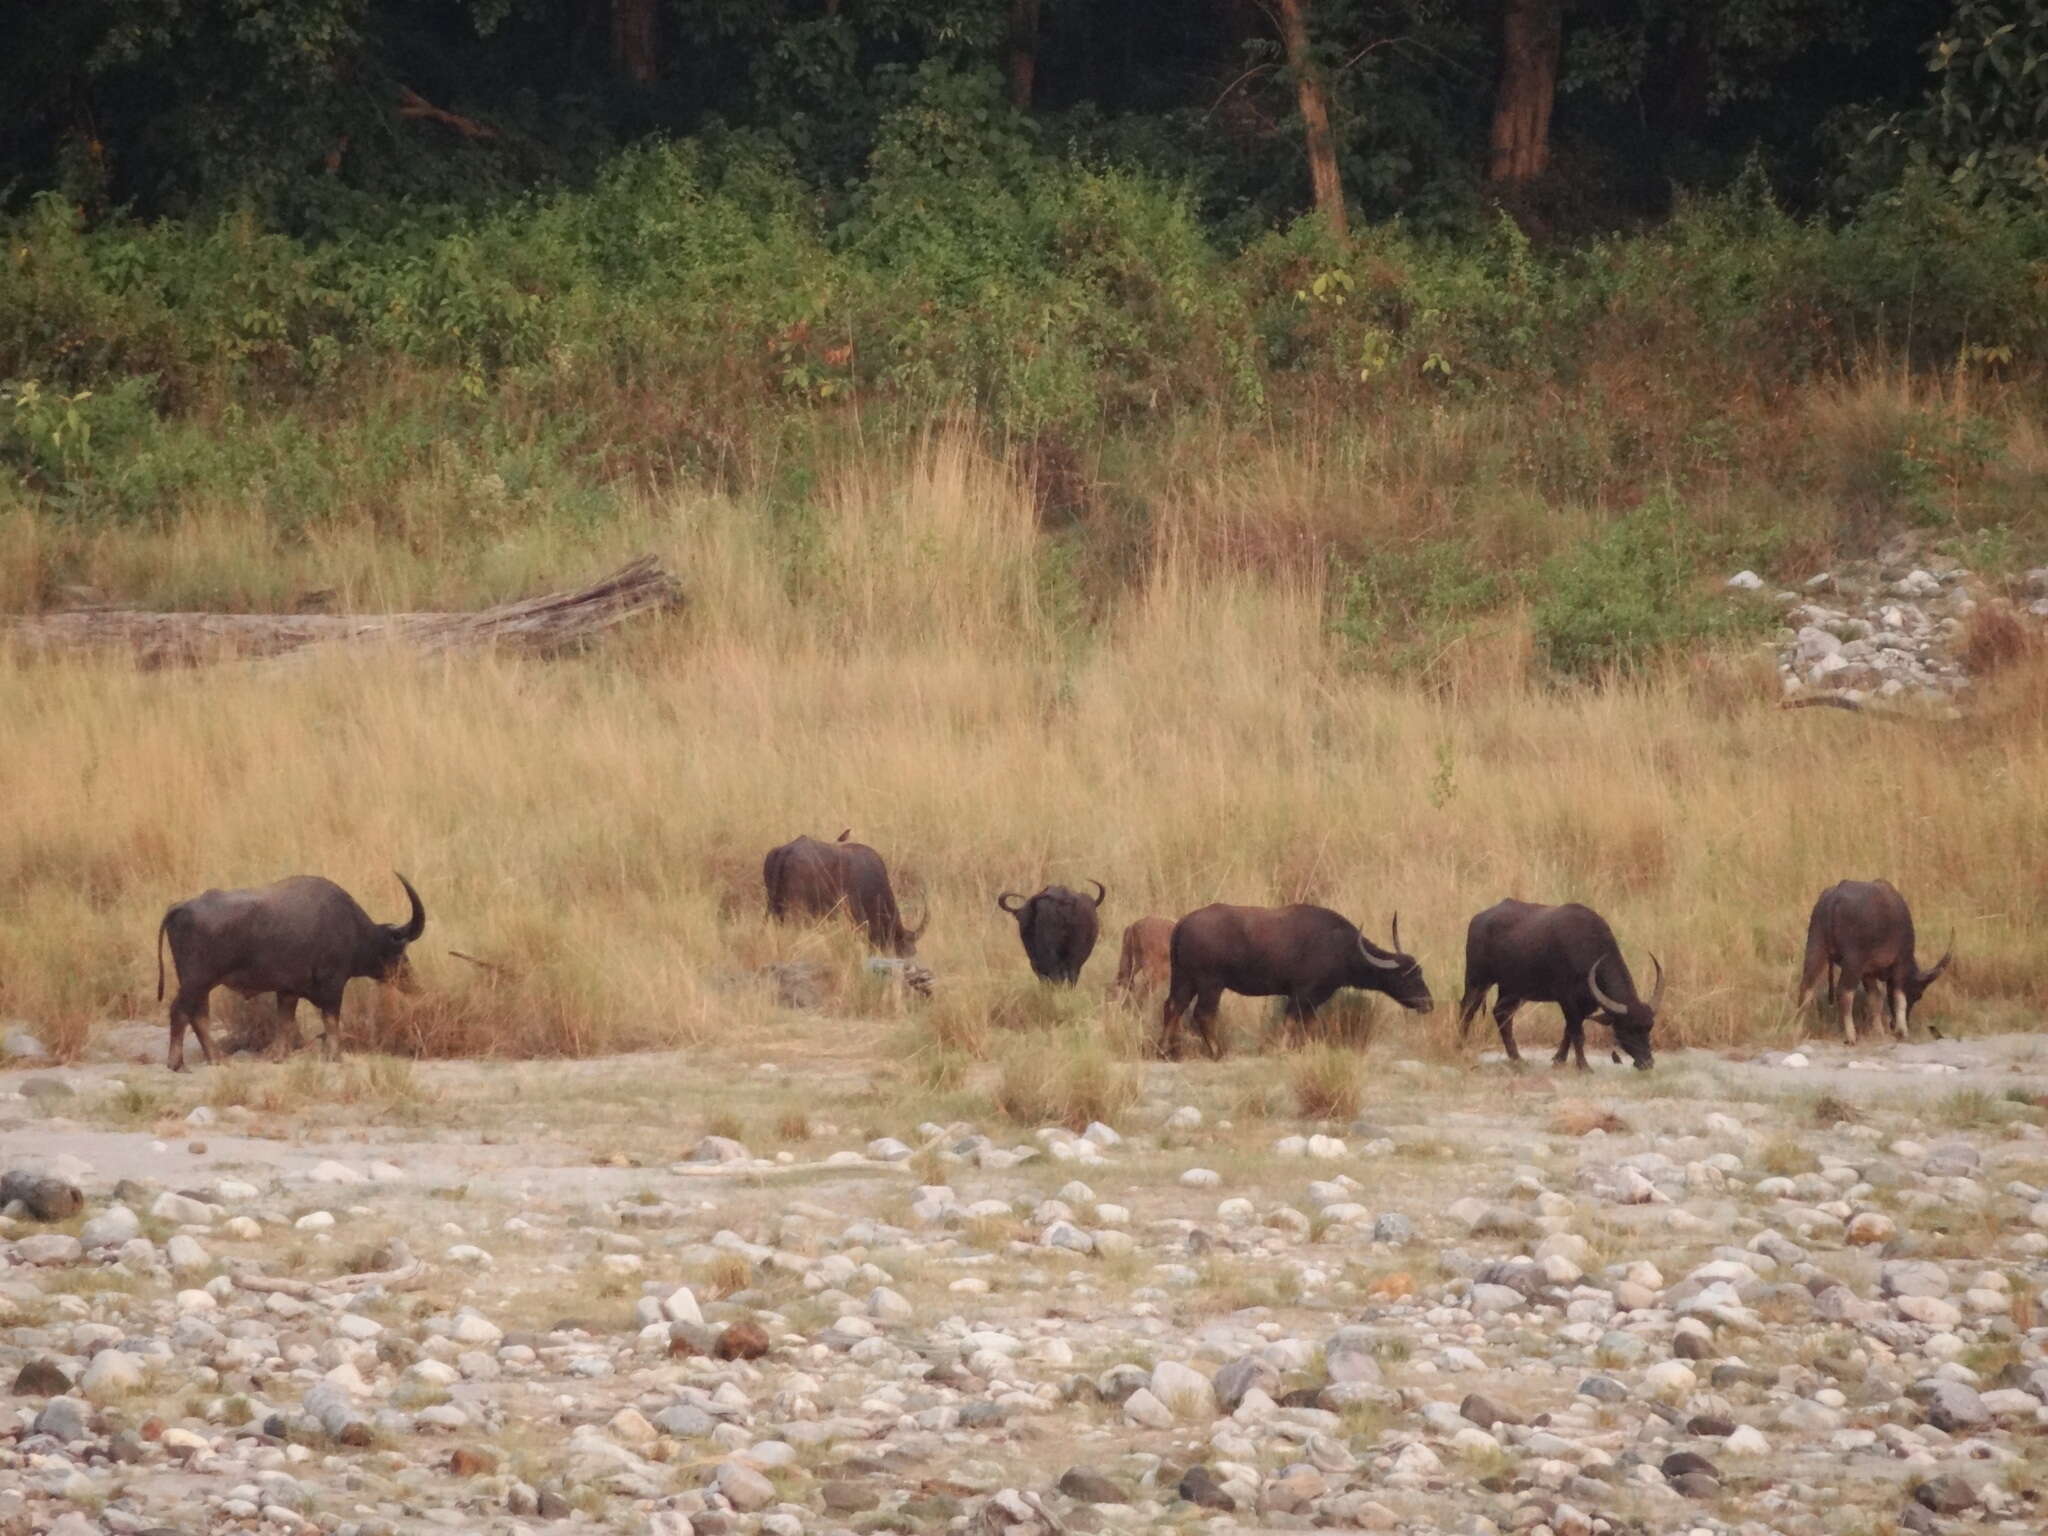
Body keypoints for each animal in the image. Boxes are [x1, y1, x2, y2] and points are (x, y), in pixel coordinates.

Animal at [155, 872, 423, 1073]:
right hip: (196, 981)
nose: (412, 982)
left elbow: (284, 1021)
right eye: (399, 950)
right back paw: (177, 1063)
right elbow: (331, 1021)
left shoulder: (288, 991)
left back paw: (217, 1058)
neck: (354, 929)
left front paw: (278, 1056)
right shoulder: (333, 985)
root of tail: (180, 907)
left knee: (198, 1016)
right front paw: (335, 1056)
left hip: (202, 985)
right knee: (180, 1012)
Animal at [1163, 909, 1433, 1064]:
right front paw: (1283, 1050)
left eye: (1420, 971)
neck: (1341, 947)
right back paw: (1217, 1052)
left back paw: (1167, 1051)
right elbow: (1290, 1022)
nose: (1428, 1004)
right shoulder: (1301, 995)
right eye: (1408, 976)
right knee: (1203, 1014)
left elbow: (1311, 1026)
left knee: (1172, 1007)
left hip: (1184, 980)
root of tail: (1182, 924)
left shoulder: (1313, 1000)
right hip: (1210, 984)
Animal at [1458, 901, 1662, 1073]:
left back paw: (1516, 1057)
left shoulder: (1585, 1005)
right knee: (1467, 1009)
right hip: (1477, 980)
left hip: (1511, 989)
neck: (1587, 948)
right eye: (1627, 1029)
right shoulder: (1567, 999)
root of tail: (1478, 919)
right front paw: (1584, 1066)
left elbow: (1568, 1031)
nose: (1647, 1063)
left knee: (1501, 1013)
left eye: (1649, 1027)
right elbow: (1577, 1033)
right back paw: (1462, 1045)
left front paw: (1559, 1059)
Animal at [1794, 876, 1949, 1048]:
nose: (1893, 1024)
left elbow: (1876, 998)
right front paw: (1902, 1031)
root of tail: (1835, 897)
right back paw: (1851, 1036)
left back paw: (1797, 1031)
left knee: (1806, 988)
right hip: (1852, 961)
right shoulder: (1899, 963)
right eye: (1918, 994)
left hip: (1815, 948)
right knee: (1844, 992)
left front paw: (1879, 1032)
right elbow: (1899, 996)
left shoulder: (1867, 973)